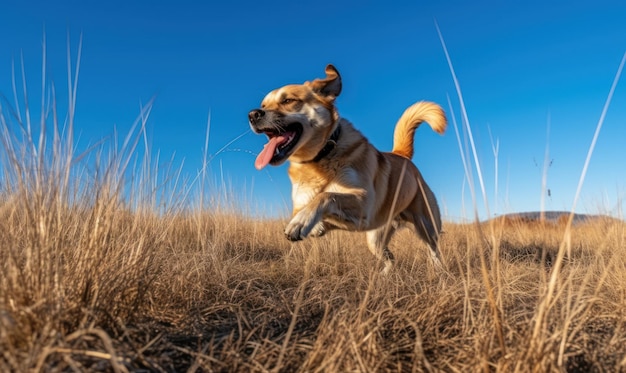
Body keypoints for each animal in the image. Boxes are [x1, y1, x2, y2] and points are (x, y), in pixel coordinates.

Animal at [246, 64, 446, 274]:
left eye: (288, 100)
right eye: (263, 105)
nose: (253, 114)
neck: (320, 159)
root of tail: (402, 154)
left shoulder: (363, 203)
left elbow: (326, 196)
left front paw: (301, 222)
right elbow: (313, 209)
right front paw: (311, 224)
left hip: (427, 227)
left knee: (434, 251)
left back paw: (439, 272)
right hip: (375, 240)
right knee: (392, 259)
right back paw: (384, 275)